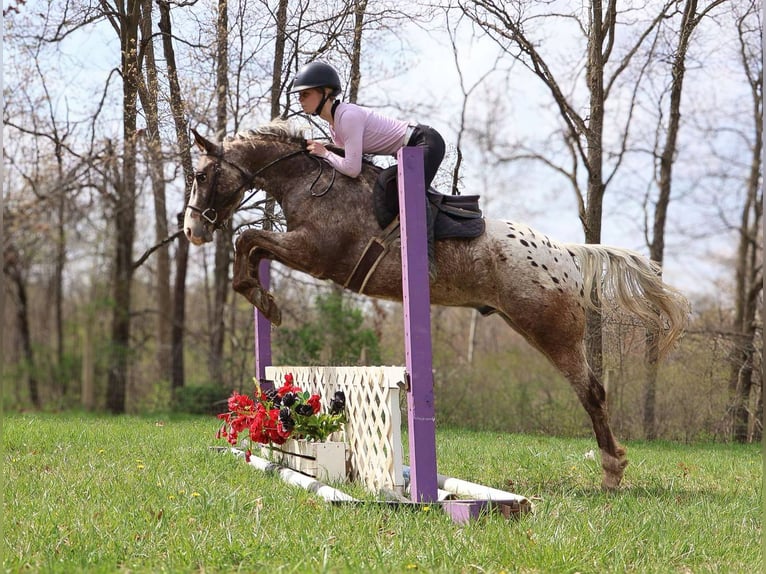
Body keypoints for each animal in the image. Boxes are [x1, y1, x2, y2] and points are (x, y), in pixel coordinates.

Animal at [183, 119, 690, 490]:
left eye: (201, 175)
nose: (193, 231)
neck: (311, 182)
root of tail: (567, 253)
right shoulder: (303, 249)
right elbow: (250, 245)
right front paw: (262, 295)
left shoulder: (317, 254)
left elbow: (249, 239)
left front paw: (265, 302)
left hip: (552, 332)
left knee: (592, 392)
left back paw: (612, 471)